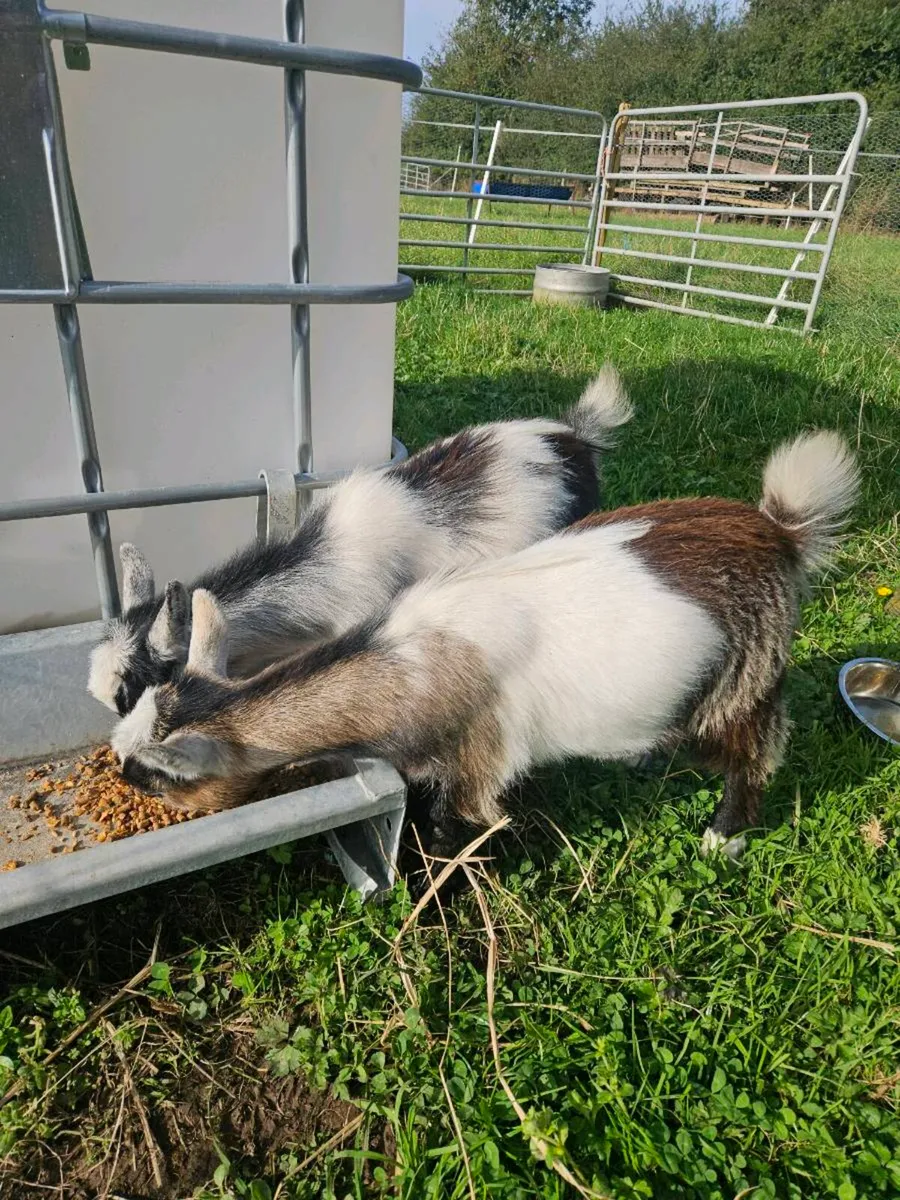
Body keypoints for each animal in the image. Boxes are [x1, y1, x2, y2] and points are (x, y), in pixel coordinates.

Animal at [112, 431, 858, 860]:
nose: (118, 774)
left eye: (155, 772)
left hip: (746, 674)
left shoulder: (478, 757)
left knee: (755, 749)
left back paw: (725, 835)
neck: (408, 663)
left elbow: (455, 827)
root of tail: (778, 531)